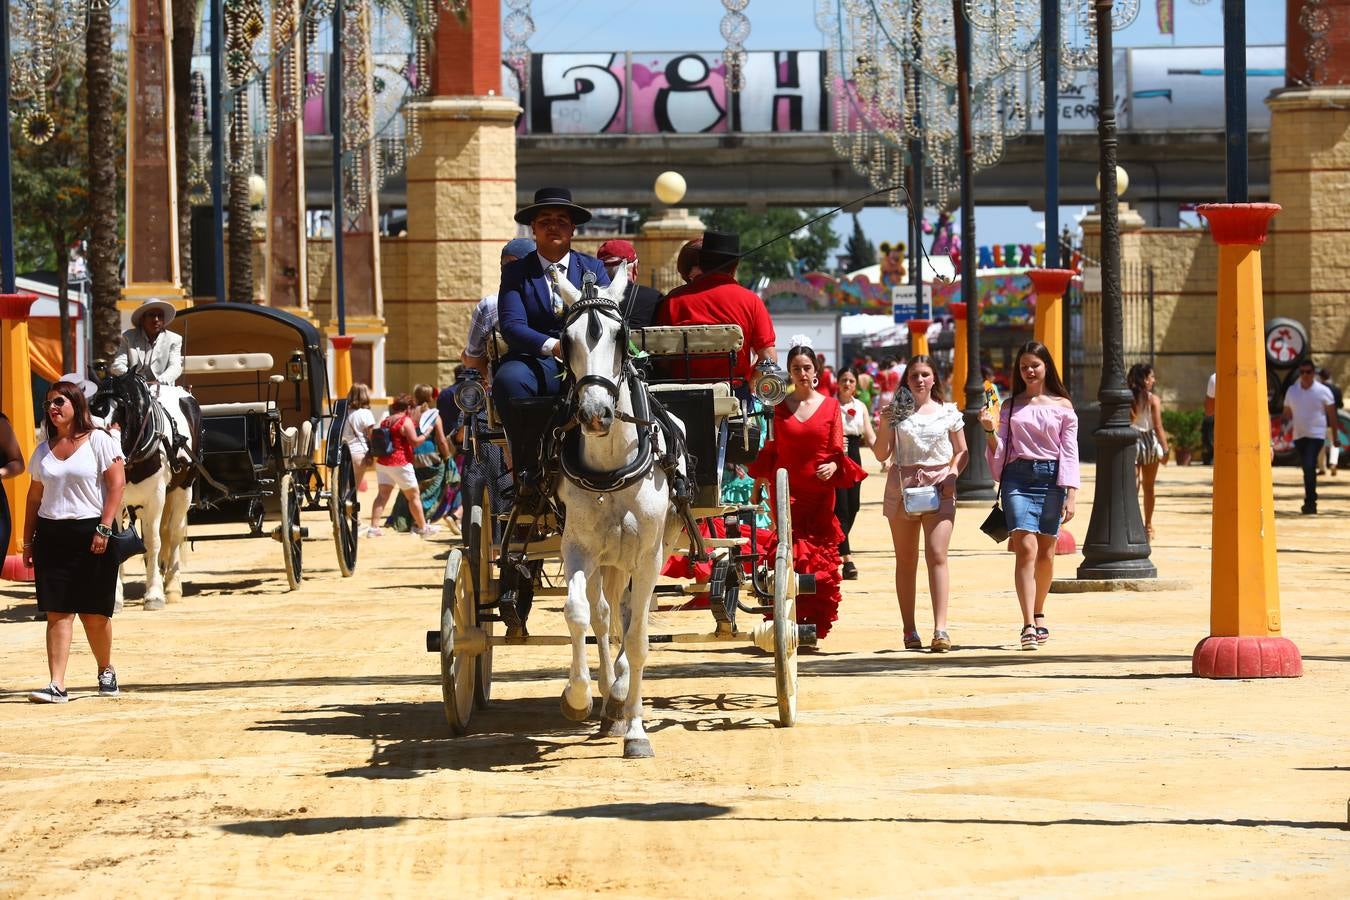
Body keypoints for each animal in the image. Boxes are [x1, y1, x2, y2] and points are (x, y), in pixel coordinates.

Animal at [93, 372, 199, 612]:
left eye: (123, 411)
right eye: (91, 408)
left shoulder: (156, 497)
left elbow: (153, 542)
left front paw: (154, 595)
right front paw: (115, 598)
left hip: (183, 489)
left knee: (174, 533)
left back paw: (172, 587)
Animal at [548, 267, 685, 761]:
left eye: (620, 335)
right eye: (564, 339)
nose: (595, 413)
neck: (611, 467)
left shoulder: (647, 555)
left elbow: (640, 639)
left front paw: (637, 730)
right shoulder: (578, 548)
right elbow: (578, 614)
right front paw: (578, 696)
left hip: (643, 555)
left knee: (626, 618)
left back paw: (622, 697)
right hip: (607, 559)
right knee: (606, 615)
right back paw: (609, 699)